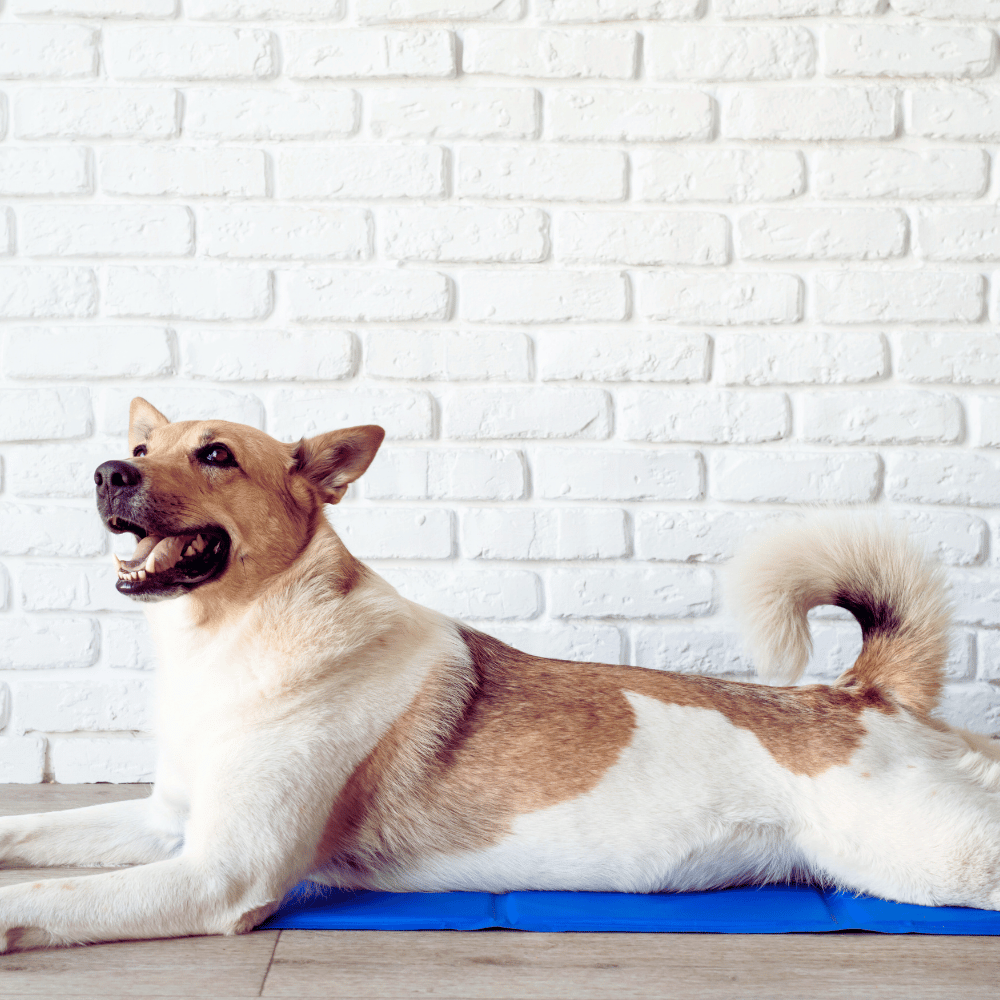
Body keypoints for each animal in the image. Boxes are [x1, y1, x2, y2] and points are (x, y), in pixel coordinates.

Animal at [1, 392, 1000, 952]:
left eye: (214, 455)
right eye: (140, 451)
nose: (107, 473)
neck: (235, 636)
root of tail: (861, 694)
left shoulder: (221, 870)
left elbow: (45, 896)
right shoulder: (164, 822)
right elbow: (31, 835)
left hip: (928, 854)